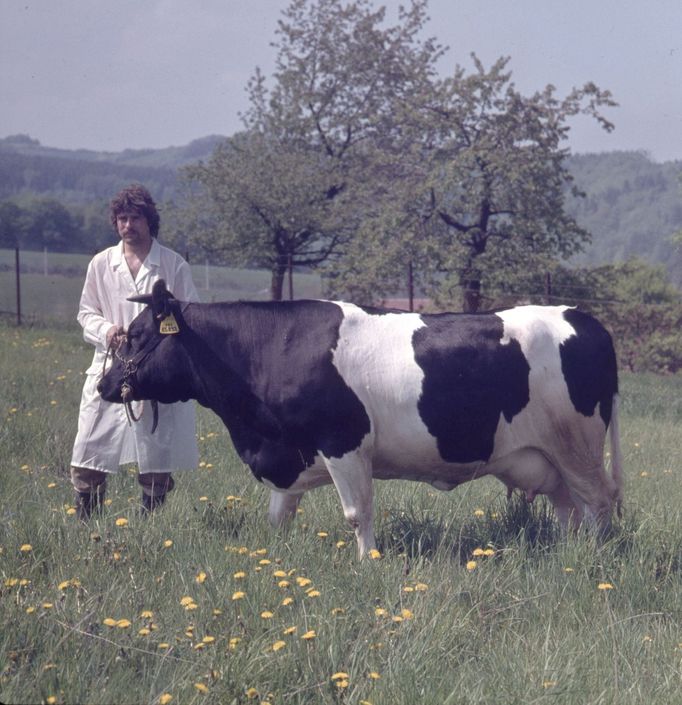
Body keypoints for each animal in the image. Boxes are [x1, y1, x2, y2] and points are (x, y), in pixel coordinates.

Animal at [97, 278, 620, 560]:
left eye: (138, 335)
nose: (105, 385)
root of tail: (582, 316)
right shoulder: (287, 455)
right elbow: (279, 515)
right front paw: (275, 559)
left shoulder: (344, 443)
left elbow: (357, 512)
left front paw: (368, 561)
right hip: (549, 459)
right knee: (570, 510)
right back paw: (568, 556)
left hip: (578, 446)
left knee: (598, 505)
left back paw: (592, 563)